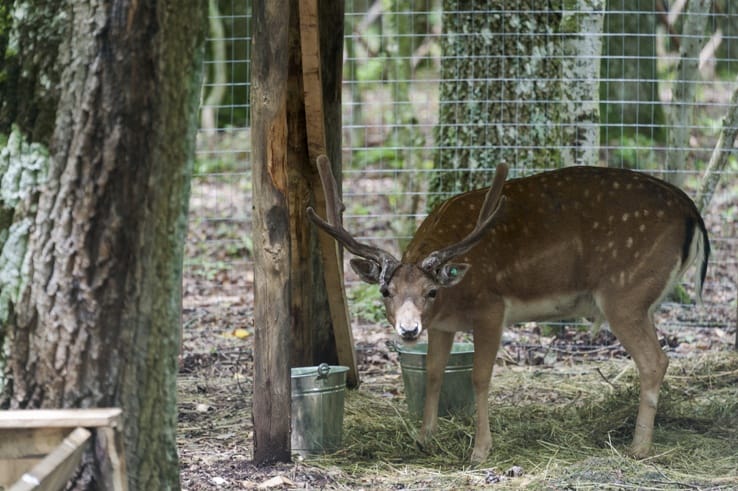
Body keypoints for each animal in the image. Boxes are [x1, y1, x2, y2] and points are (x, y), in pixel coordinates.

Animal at [306, 155, 708, 466]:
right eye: (386, 291)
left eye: (431, 291)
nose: (408, 330)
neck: (456, 294)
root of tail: (692, 212)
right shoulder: (442, 326)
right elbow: (434, 374)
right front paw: (424, 437)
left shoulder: (491, 307)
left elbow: (480, 377)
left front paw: (480, 450)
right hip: (640, 298)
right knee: (658, 356)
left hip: (625, 293)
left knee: (654, 360)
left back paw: (638, 448)